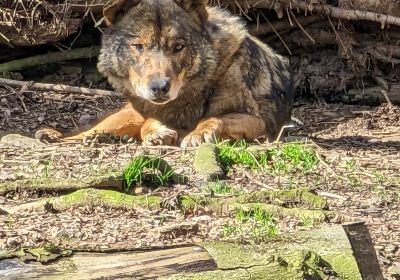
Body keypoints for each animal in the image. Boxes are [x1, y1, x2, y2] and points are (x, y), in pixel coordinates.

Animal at [36, 0, 294, 148]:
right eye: (139, 47)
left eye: (178, 47)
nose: (160, 87)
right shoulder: (152, 113)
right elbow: (150, 122)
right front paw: (157, 134)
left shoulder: (257, 121)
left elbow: (212, 118)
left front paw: (199, 134)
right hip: (122, 119)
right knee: (86, 133)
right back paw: (54, 136)